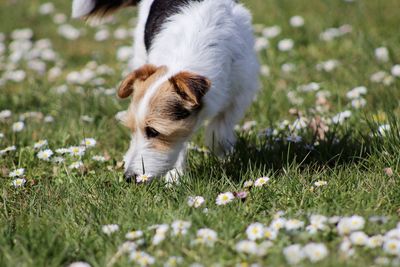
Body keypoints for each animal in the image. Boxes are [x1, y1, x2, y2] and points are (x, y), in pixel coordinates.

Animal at [72, 0, 260, 183]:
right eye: (131, 129)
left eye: (153, 131)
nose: (128, 178)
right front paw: (174, 178)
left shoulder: (241, 90)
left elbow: (220, 127)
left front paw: (223, 155)